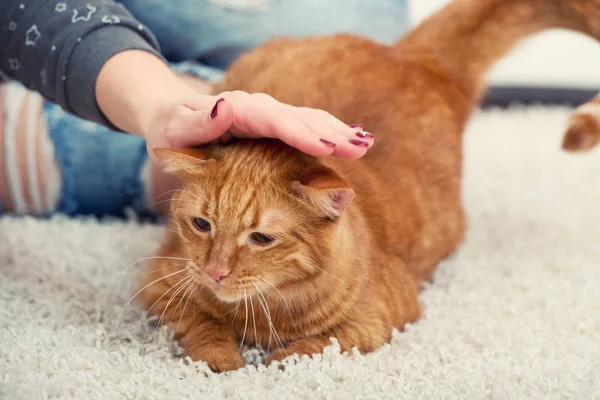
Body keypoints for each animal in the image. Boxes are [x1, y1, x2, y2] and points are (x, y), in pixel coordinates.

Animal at [136, 0, 600, 372]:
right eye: (201, 225)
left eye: (262, 238)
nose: (214, 271)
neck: (264, 312)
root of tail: (408, 56)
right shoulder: (160, 284)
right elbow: (202, 326)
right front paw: (221, 359)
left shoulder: (383, 315)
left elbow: (325, 343)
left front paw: (282, 358)